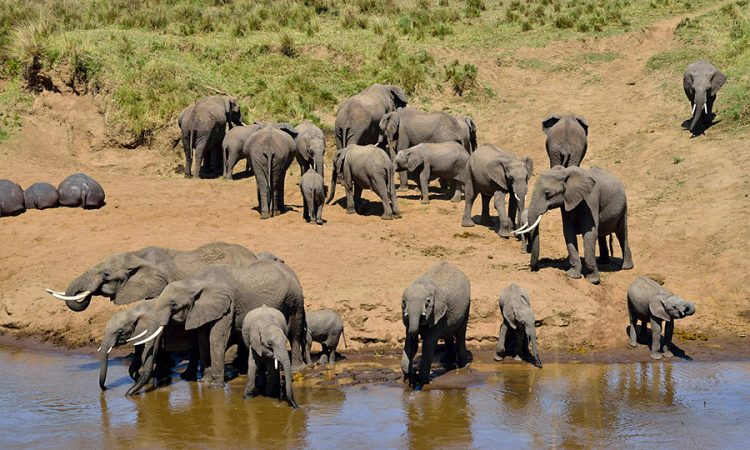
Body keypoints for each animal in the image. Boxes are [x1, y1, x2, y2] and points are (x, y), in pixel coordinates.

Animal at [124, 260, 309, 394]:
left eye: (173, 304)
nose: (129, 394)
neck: (195, 282)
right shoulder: (201, 310)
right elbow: (202, 340)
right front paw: (205, 381)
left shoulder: (227, 306)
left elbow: (216, 338)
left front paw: (215, 387)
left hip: (294, 298)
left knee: (294, 330)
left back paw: (296, 368)